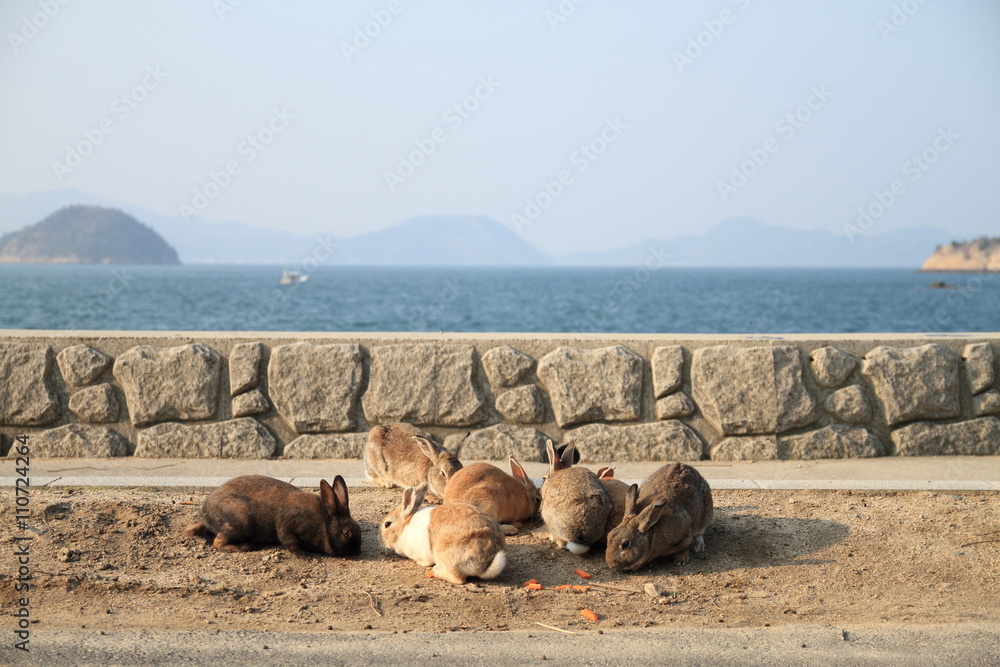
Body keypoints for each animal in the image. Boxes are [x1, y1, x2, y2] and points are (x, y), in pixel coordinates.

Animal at [182, 474, 361, 558]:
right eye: (347, 532)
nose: (357, 552)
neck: (324, 521)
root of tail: (206, 513)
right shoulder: (287, 523)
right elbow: (288, 539)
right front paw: (303, 555)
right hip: (241, 523)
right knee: (217, 542)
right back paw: (246, 547)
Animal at [379, 483, 507, 584]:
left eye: (387, 524)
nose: (381, 542)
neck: (404, 528)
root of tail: (487, 563)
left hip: (446, 554)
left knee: (459, 579)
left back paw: (435, 571)